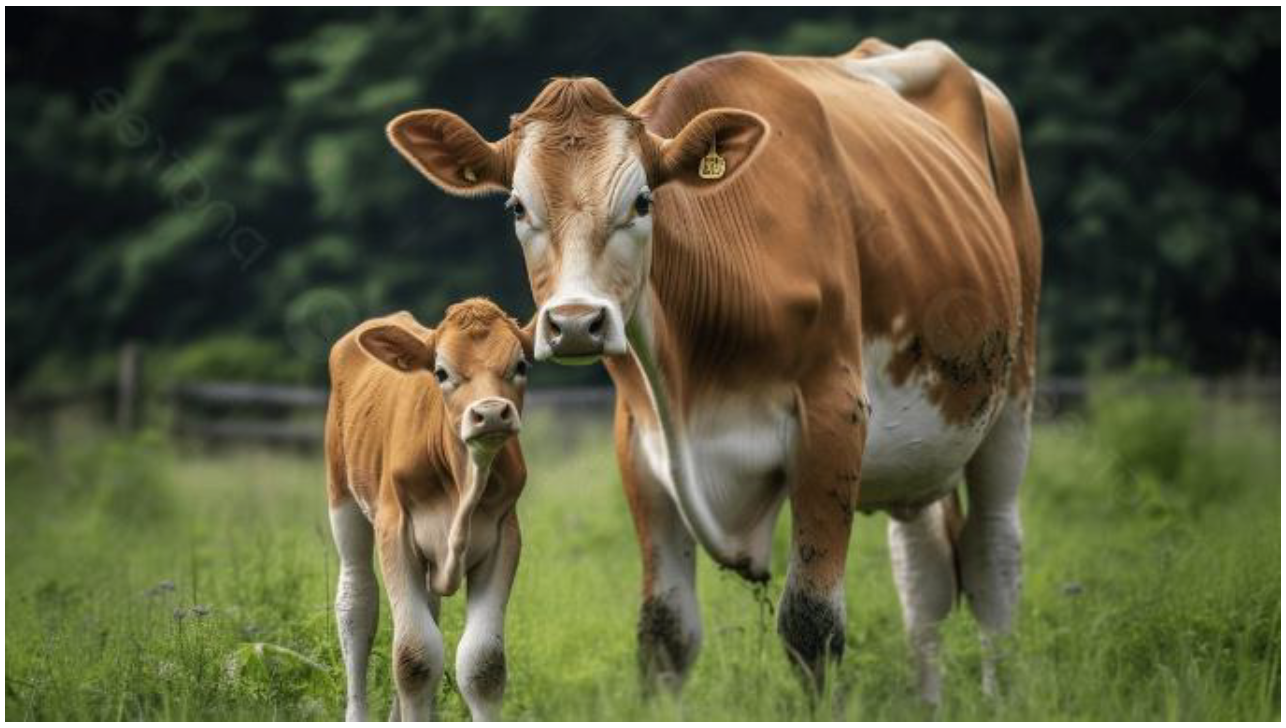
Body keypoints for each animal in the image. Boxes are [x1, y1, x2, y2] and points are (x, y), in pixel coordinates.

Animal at [325, 300, 535, 720]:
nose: (491, 413)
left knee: (427, 610)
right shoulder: (395, 530)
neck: (464, 481)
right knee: (356, 603)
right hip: (342, 497)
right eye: (441, 372)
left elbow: (482, 664)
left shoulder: (505, 535)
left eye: (521, 365)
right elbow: (415, 657)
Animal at [385, 38, 1041, 704]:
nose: (575, 323)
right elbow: (666, 632)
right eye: (518, 206)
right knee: (924, 575)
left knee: (992, 556)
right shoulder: (639, 439)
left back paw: (1002, 696)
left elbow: (813, 626)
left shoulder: (835, 416)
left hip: (1013, 390)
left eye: (643, 201)